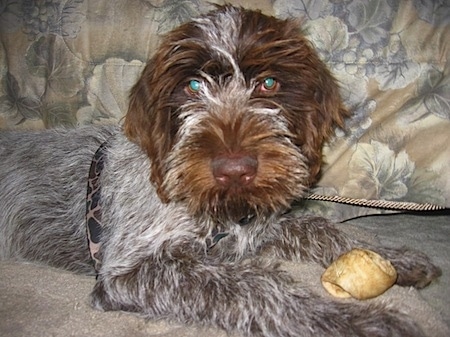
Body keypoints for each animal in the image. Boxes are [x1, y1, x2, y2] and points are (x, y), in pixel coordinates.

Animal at [0, 5, 442, 336]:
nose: (235, 170)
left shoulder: (245, 232)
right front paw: (355, 321)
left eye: (268, 83)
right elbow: (255, 289)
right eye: (193, 87)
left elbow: (317, 227)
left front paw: (392, 259)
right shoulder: (131, 271)